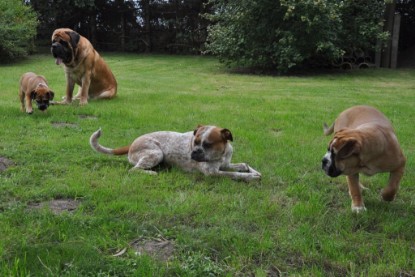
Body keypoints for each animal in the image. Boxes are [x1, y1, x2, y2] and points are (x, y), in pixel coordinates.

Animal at [90, 125, 262, 181]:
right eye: (195, 141)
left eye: (207, 144)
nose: (194, 152)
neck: (221, 155)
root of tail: (131, 144)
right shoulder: (213, 173)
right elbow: (236, 174)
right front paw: (251, 177)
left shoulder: (226, 164)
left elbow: (243, 165)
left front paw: (252, 171)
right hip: (156, 154)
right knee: (134, 170)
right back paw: (152, 173)